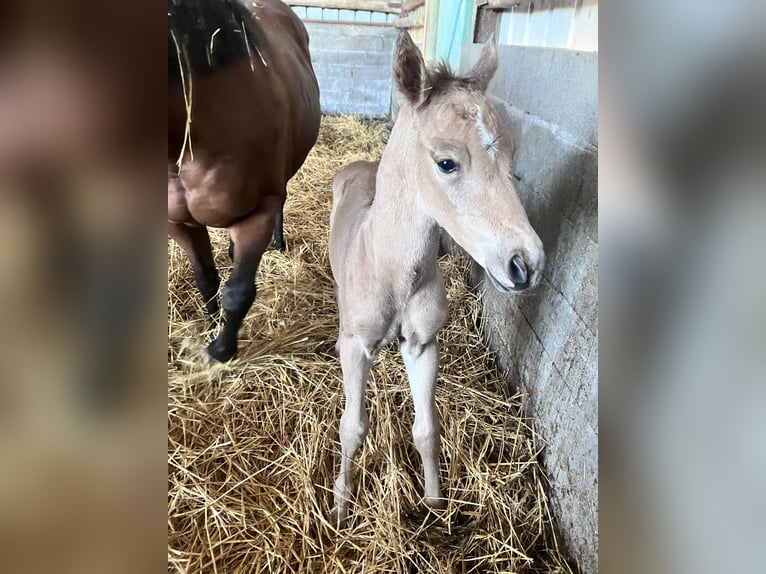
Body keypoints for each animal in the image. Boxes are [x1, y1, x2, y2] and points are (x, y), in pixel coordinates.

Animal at [168, 0, 321, 362]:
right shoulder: (180, 224)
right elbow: (206, 280)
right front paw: (210, 328)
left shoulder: (257, 214)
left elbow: (238, 292)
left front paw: (221, 350)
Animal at [329, 32, 545, 521]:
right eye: (447, 162)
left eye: (511, 154)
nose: (525, 263)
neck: (394, 273)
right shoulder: (356, 347)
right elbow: (352, 427)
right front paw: (341, 502)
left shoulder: (423, 345)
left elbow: (427, 429)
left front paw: (434, 502)